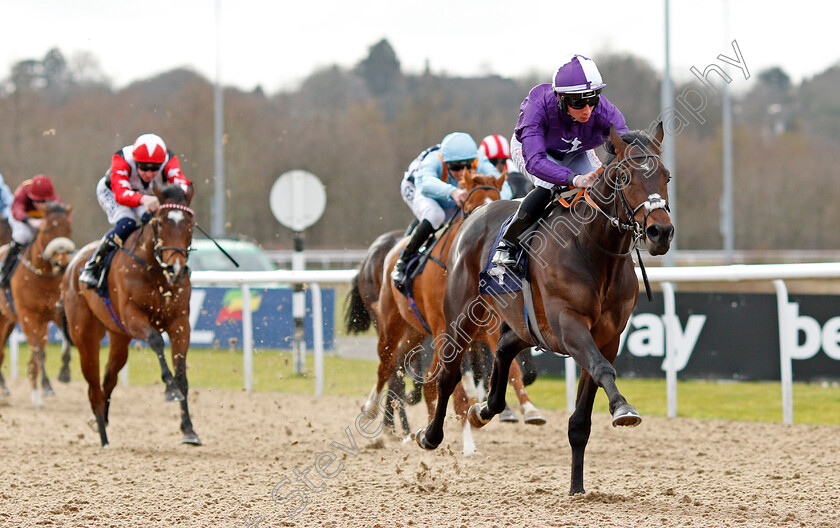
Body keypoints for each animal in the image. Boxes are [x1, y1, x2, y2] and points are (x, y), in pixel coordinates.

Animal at [0, 202, 74, 404]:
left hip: (9, 321)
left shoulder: (56, 313)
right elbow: (39, 352)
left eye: (69, 228)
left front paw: (64, 373)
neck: (43, 277)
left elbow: (65, 342)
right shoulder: (29, 316)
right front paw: (43, 389)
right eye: (46, 229)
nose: (62, 263)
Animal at [60, 185, 199, 446]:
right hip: (84, 336)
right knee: (94, 386)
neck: (155, 272)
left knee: (108, 379)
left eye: (190, 224)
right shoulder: (133, 317)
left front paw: (189, 430)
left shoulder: (180, 323)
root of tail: (72, 264)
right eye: (161, 223)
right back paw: (103, 436)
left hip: (119, 338)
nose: (176, 269)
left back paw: (102, 420)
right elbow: (155, 340)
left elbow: (182, 375)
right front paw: (170, 388)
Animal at [364, 171, 548, 456]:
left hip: (415, 331)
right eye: (470, 207)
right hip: (391, 324)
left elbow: (514, 370)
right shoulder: (447, 331)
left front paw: (529, 410)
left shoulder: (489, 328)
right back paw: (372, 411)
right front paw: (468, 443)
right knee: (385, 367)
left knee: (414, 375)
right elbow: (458, 391)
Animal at [418, 124, 676, 490]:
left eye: (666, 176)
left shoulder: (608, 336)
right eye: (626, 177)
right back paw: (431, 435)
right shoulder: (569, 323)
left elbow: (582, 417)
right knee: (448, 373)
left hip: (527, 325)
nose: (660, 232)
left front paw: (577, 488)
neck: (592, 248)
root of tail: (475, 216)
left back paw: (483, 410)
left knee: (504, 348)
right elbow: (602, 369)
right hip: (461, 316)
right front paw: (623, 409)